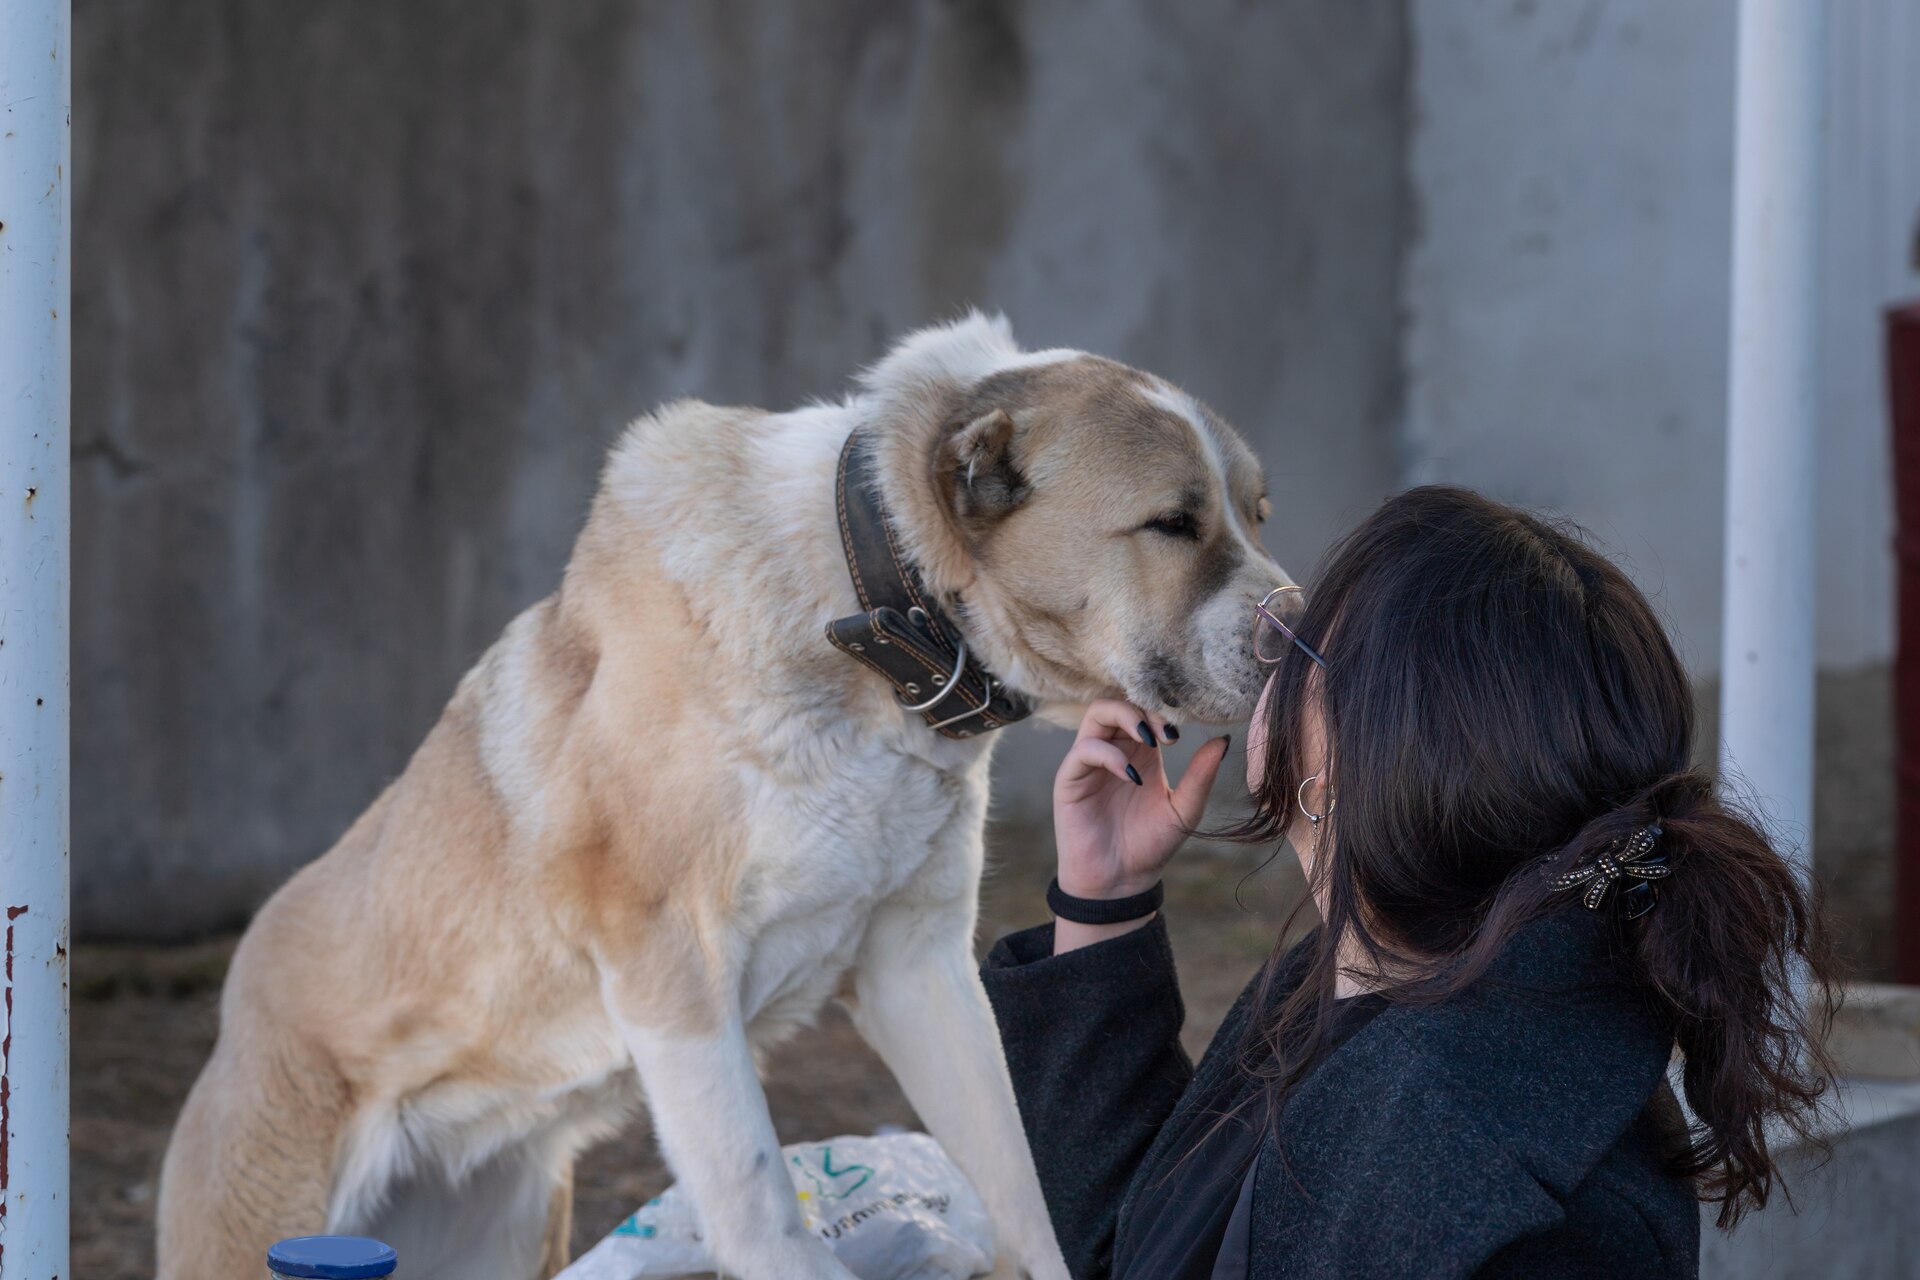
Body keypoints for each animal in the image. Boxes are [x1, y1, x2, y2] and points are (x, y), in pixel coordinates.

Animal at [157, 312, 1297, 1280]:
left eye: (1255, 513)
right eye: (1172, 523)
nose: (1296, 622)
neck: (862, 606)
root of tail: (233, 1017)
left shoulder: (915, 964)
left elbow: (1022, 1171)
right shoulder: (668, 961)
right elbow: (757, 1201)